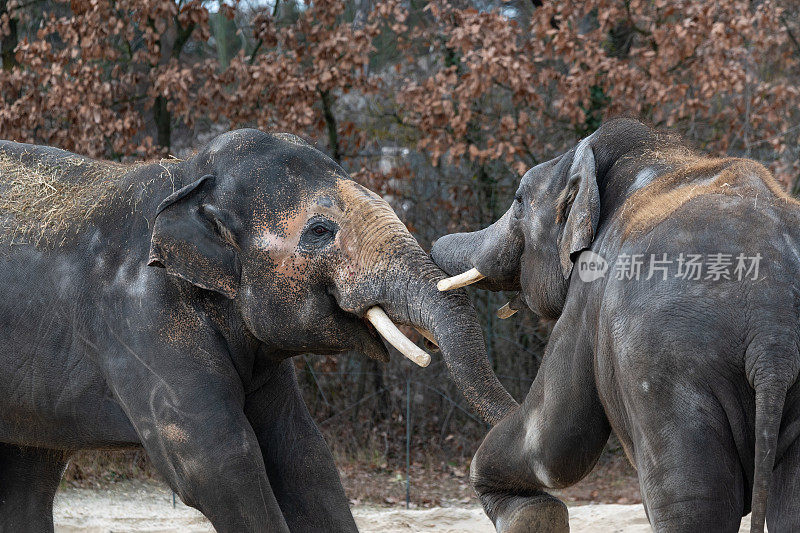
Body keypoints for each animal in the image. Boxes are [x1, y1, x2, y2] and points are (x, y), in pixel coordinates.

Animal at [0, 130, 520, 532]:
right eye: (319, 231)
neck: (187, 178)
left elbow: (303, 454)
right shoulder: (138, 318)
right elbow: (220, 462)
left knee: (30, 471)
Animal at [432, 119, 800, 532]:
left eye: (518, 200)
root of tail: (773, 336)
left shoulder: (587, 294)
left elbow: (558, 439)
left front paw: (525, 513)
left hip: (664, 372)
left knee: (691, 503)